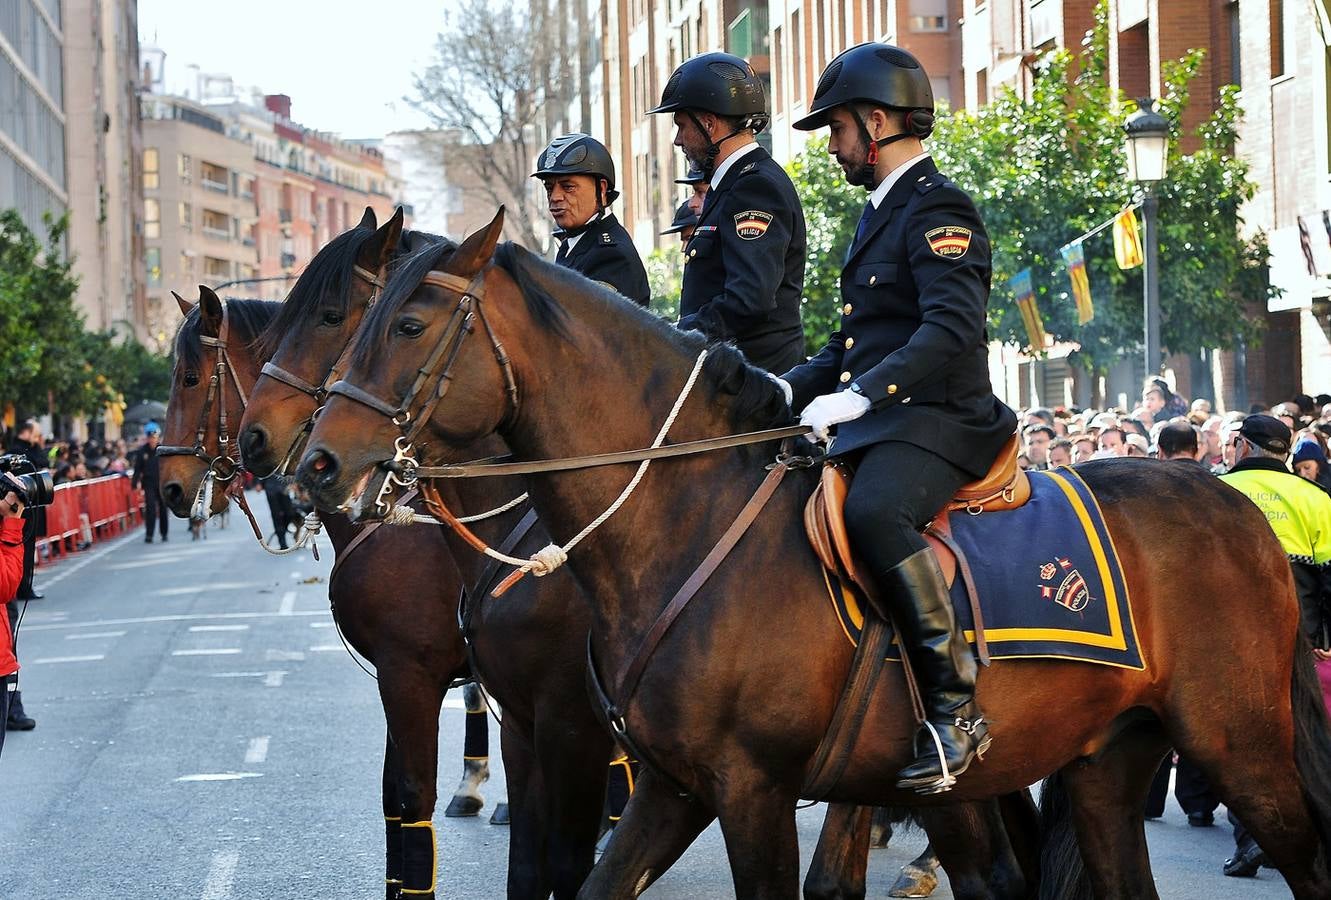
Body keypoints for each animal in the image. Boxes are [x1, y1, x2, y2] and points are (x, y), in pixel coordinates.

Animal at [299, 207, 1331, 894]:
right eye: (356, 321)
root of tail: (1233, 503)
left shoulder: (745, 788)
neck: (681, 517)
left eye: (405, 324)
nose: (315, 461)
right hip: (1101, 763)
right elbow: (589, 878)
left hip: (1238, 745)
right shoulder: (670, 786)